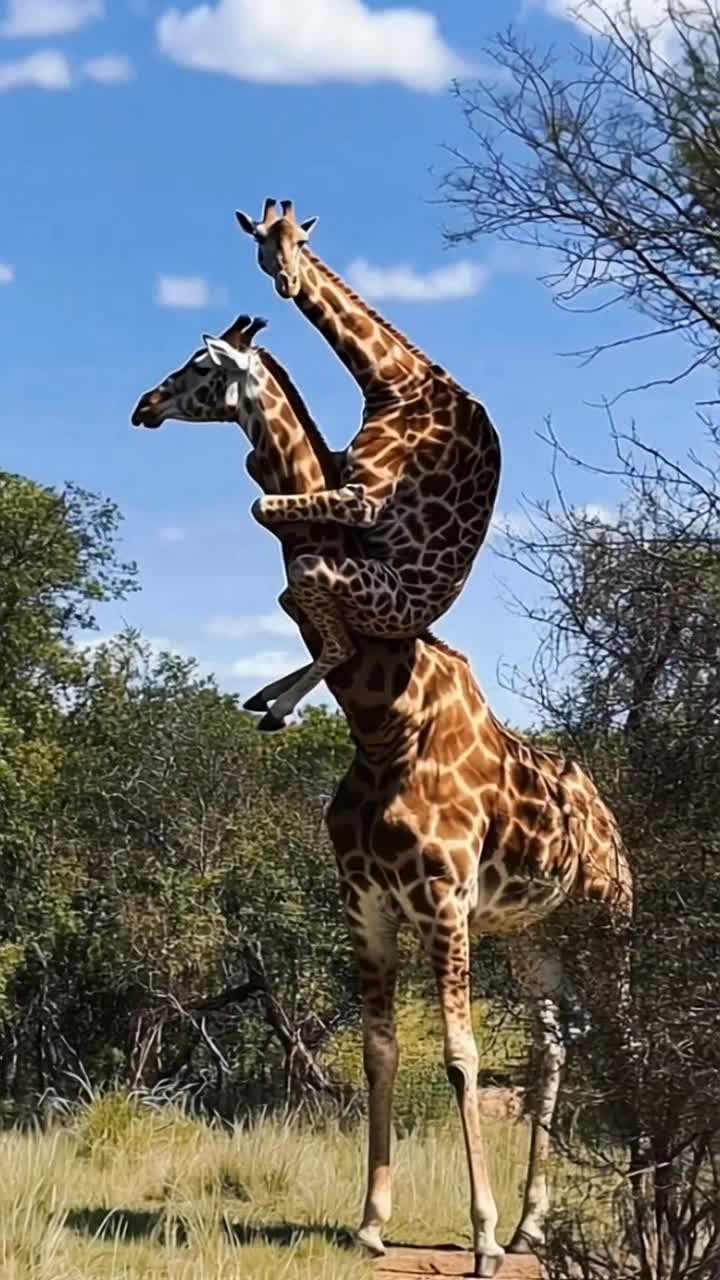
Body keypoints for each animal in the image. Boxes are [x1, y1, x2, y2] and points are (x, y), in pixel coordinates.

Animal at [132, 320, 633, 1277]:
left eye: (202, 364)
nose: (142, 405)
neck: (382, 726)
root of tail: (608, 820)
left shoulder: (443, 903)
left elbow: (462, 1057)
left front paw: (478, 1238)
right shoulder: (365, 903)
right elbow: (379, 1051)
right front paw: (371, 1221)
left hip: (609, 921)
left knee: (622, 1038)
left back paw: (619, 1198)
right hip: (535, 937)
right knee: (553, 1049)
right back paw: (534, 1225)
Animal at [232, 198, 502, 731]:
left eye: (304, 242)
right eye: (260, 238)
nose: (288, 281)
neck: (395, 383)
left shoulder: (366, 499)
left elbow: (262, 505)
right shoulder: (339, 465)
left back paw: (276, 704)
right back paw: (265, 696)